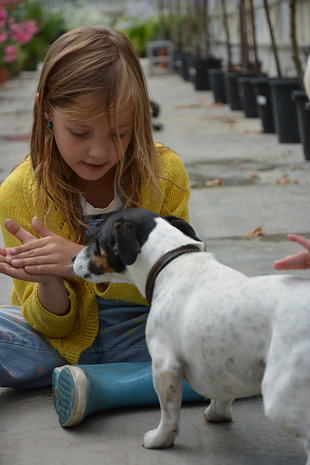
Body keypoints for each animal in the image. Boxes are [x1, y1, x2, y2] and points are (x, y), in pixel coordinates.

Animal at [73, 208, 310, 460]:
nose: (71, 258)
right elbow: (223, 393)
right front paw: (217, 413)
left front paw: (160, 440)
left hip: (280, 399)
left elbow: (169, 413)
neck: (169, 262)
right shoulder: (220, 364)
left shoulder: (164, 366)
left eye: (95, 240)